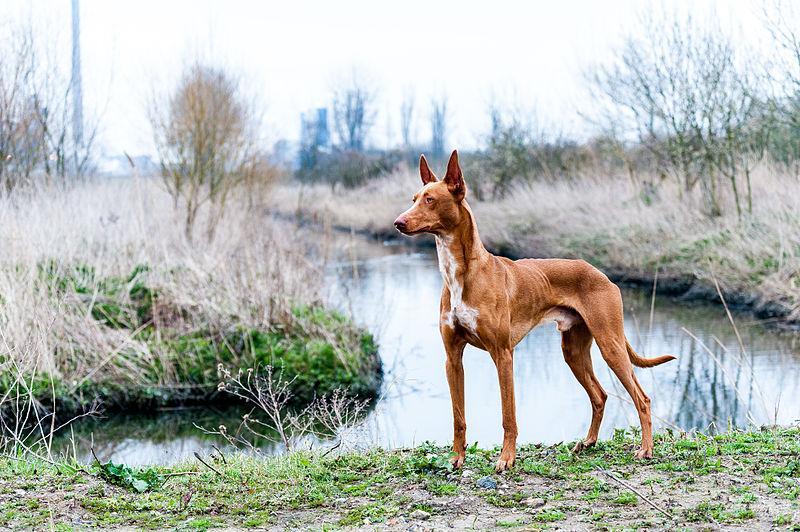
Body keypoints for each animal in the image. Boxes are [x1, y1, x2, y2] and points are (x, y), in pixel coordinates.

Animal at [394, 152, 676, 472]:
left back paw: (646, 449)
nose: (398, 223)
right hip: (573, 351)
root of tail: (602, 274)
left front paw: (506, 458)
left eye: (430, 200)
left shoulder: (503, 354)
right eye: (414, 198)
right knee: (600, 395)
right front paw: (456, 458)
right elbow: (458, 416)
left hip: (610, 344)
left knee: (642, 398)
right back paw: (589, 442)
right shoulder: (452, 358)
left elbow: (508, 415)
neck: (461, 274)